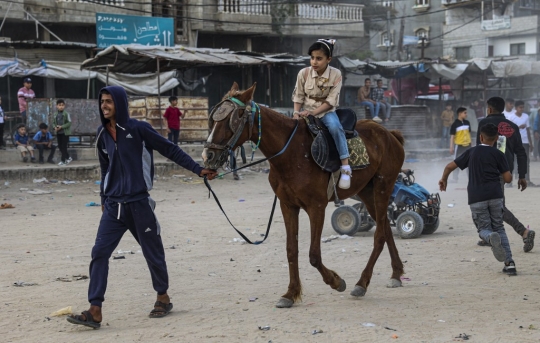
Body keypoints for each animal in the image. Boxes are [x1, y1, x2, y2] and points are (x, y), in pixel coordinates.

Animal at [202, 82, 404, 310]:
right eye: (214, 118)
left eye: (235, 117)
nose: (208, 155)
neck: (292, 152)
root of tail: (390, 134)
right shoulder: (288, 205)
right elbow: (291, 250)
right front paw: (291, 293)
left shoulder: (316, 207)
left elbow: (314, 255)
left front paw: (336, 281)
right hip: (367, 192)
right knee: (385, 228)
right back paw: (396, 273)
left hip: (383, 186)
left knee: (380, 235)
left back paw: (362, 283)